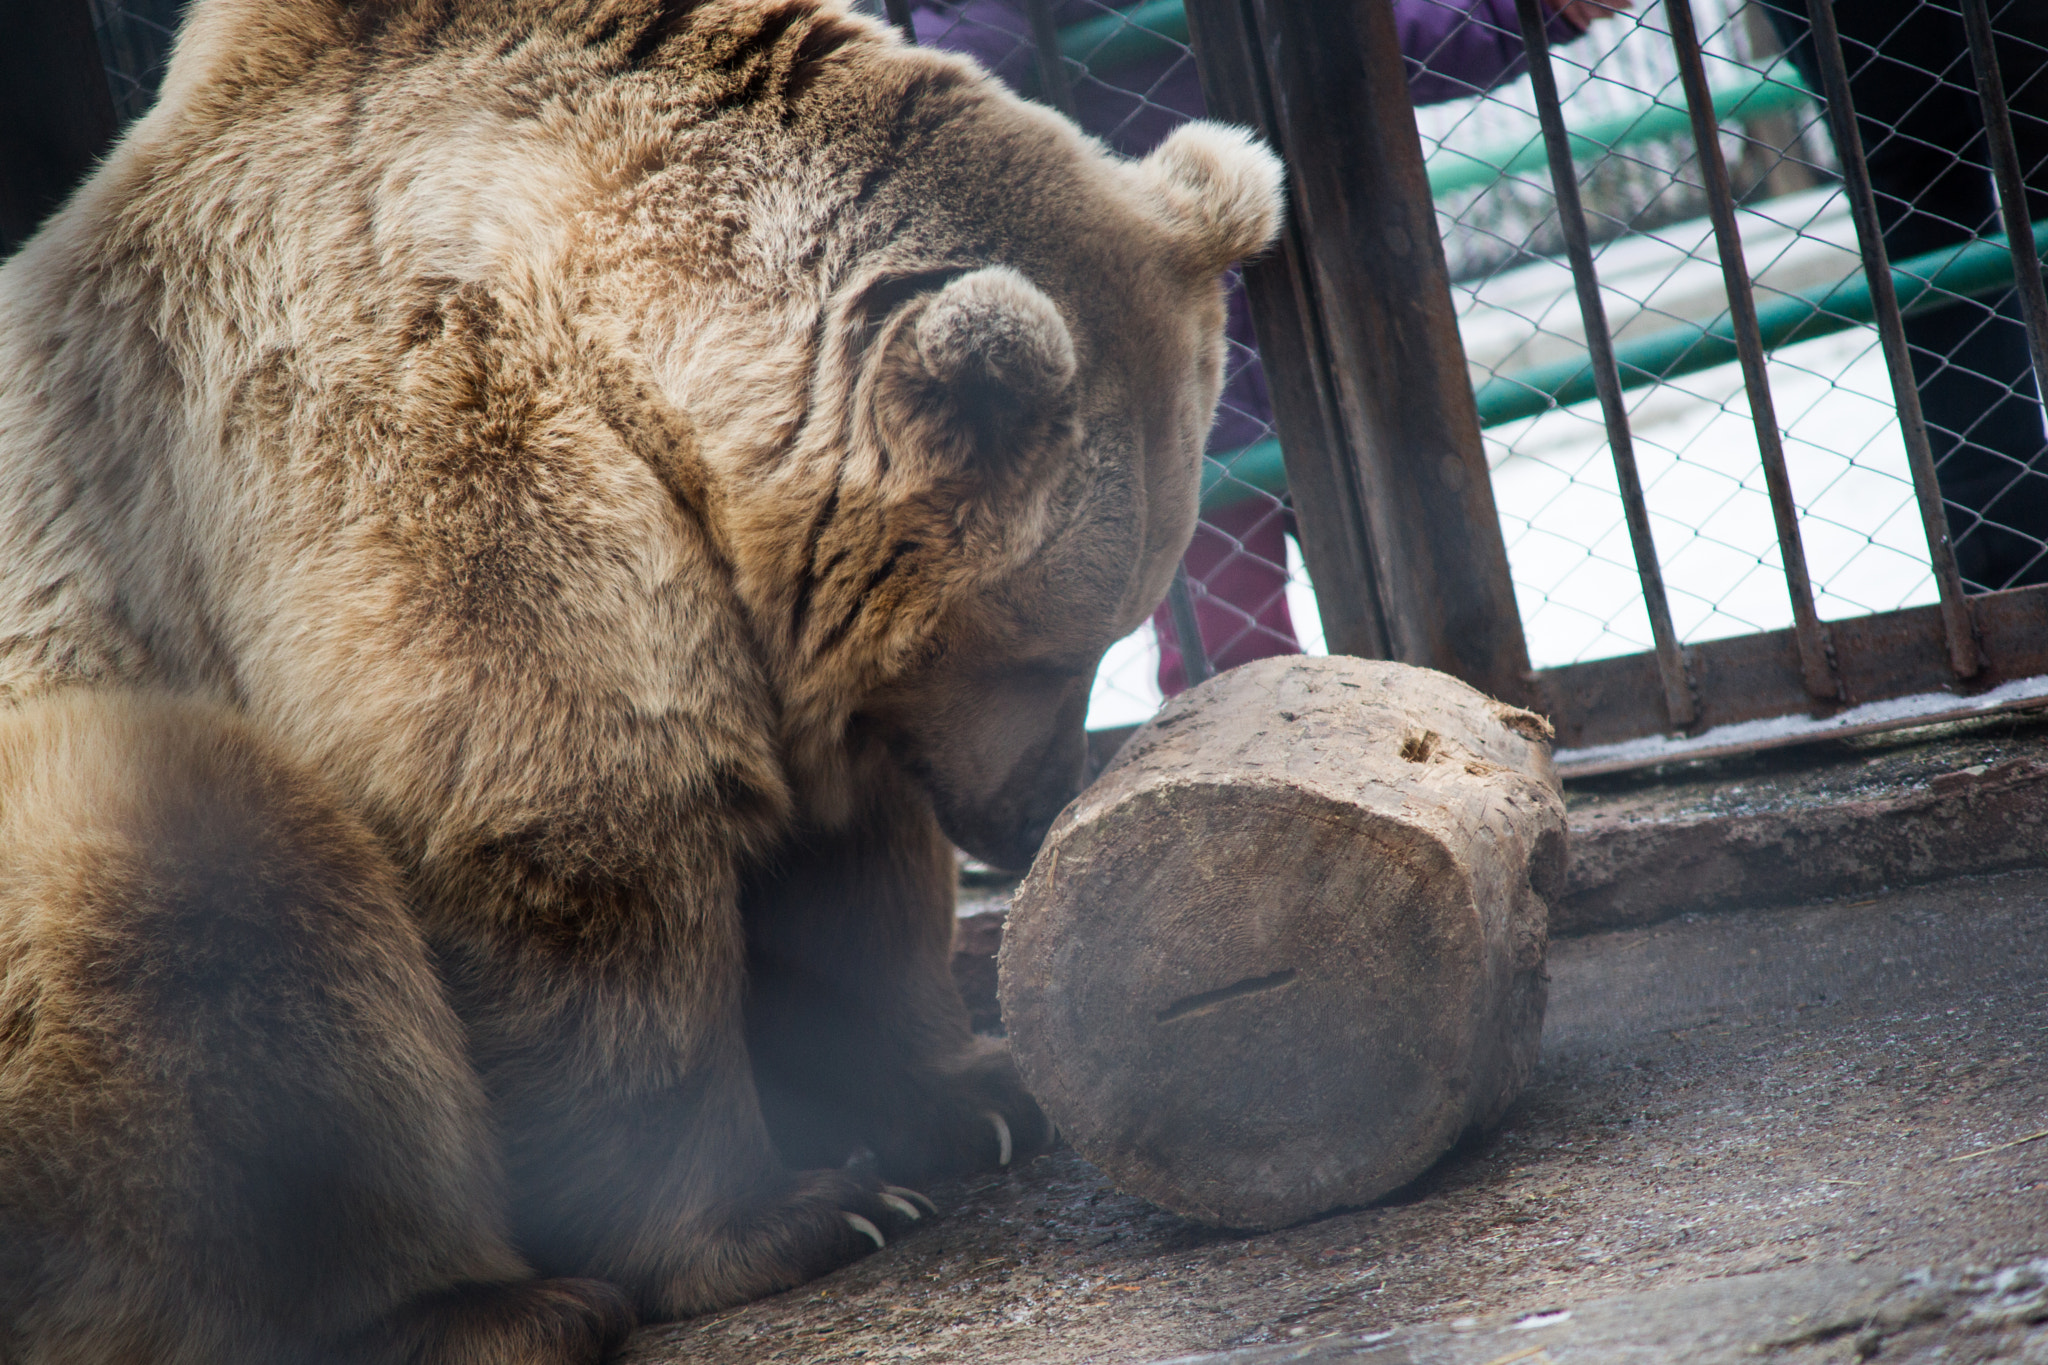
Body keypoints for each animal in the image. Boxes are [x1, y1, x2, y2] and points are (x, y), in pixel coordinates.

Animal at [0, 0, 1277, 1358]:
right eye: (1057, 649)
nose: (1035, 813)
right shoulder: (420, 449)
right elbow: (574, 832)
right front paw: (797, 1214)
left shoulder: (787, 644)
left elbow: (848, 861)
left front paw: (968, 1098)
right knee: (181, 854)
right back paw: (479, 1304)